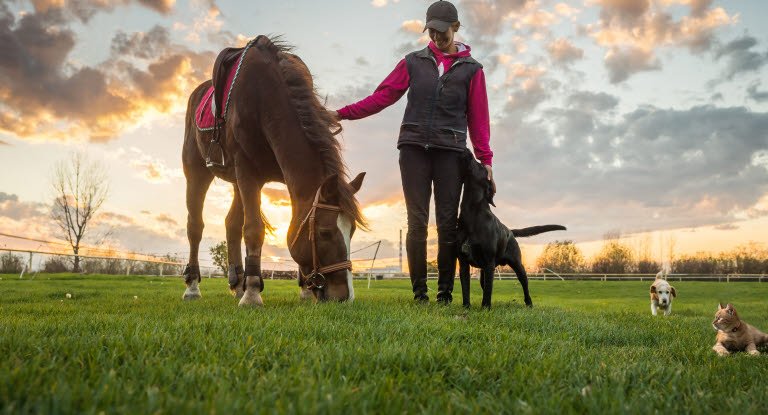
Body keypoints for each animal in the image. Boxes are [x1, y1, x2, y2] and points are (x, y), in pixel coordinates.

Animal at [183, 36, 368, 306]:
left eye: (352, 231)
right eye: (324, 233)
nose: (344, 297)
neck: (264, 97)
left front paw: (303, 290)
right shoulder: (247, 171)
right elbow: (253, 230)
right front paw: (252, 292)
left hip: (236, 181)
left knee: (231, 224)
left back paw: (236, 283)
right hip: (197, 171)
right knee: (195, 226)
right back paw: (193, 286)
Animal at [456, 151, 564, 310]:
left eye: (481, 165)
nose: (467, 150)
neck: (471, 213)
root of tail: (510, 231)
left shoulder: (489, 263)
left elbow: (487, 292)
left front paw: (485, 309)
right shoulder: (463, 262)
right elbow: (466, 289)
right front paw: (466, 308)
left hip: (518, 265)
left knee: (524, 284)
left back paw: (529, 304)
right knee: (485, 285)